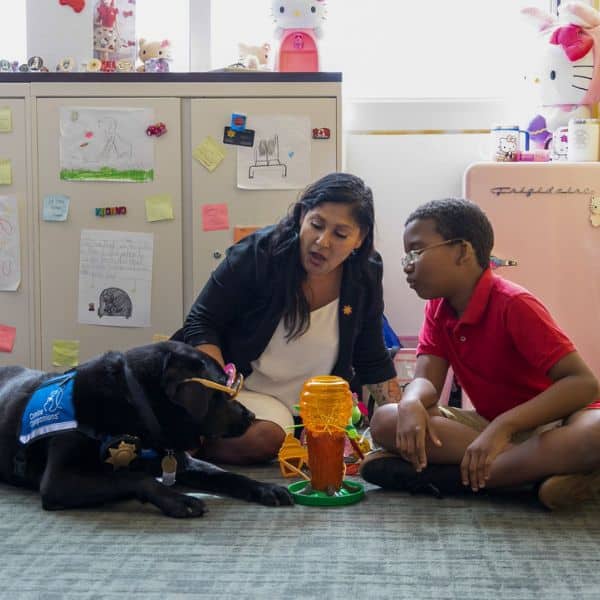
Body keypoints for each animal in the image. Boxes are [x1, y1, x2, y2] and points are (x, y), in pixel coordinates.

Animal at [0, 342, 292, 516]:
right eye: (222, 389)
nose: (251, 416)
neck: (134, 404)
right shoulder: (58, 481)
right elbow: (133, 477)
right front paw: (178, 499)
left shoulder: (182, 462)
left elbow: (227, 475)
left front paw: (265, 487)